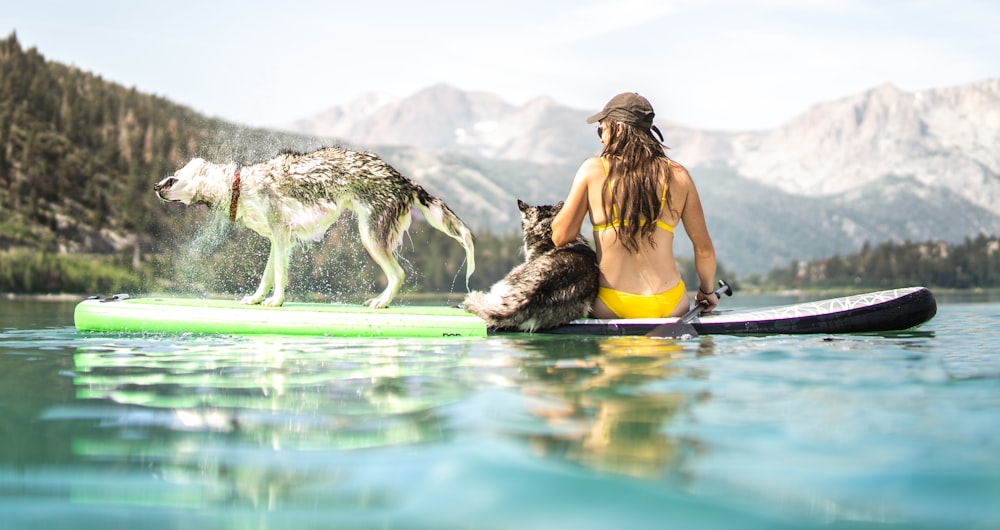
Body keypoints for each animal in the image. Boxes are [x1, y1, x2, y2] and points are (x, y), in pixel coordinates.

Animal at [156, 146, 476, 308]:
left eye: (173, 178)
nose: (155, 186)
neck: (240, 186)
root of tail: (405, 180)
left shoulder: (282, 235)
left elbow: (280, 276)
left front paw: (276, 302)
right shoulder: (277, 240)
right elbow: (266, 276)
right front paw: (257, 299)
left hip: (370, 236)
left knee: (398, 275)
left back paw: (381, 302)